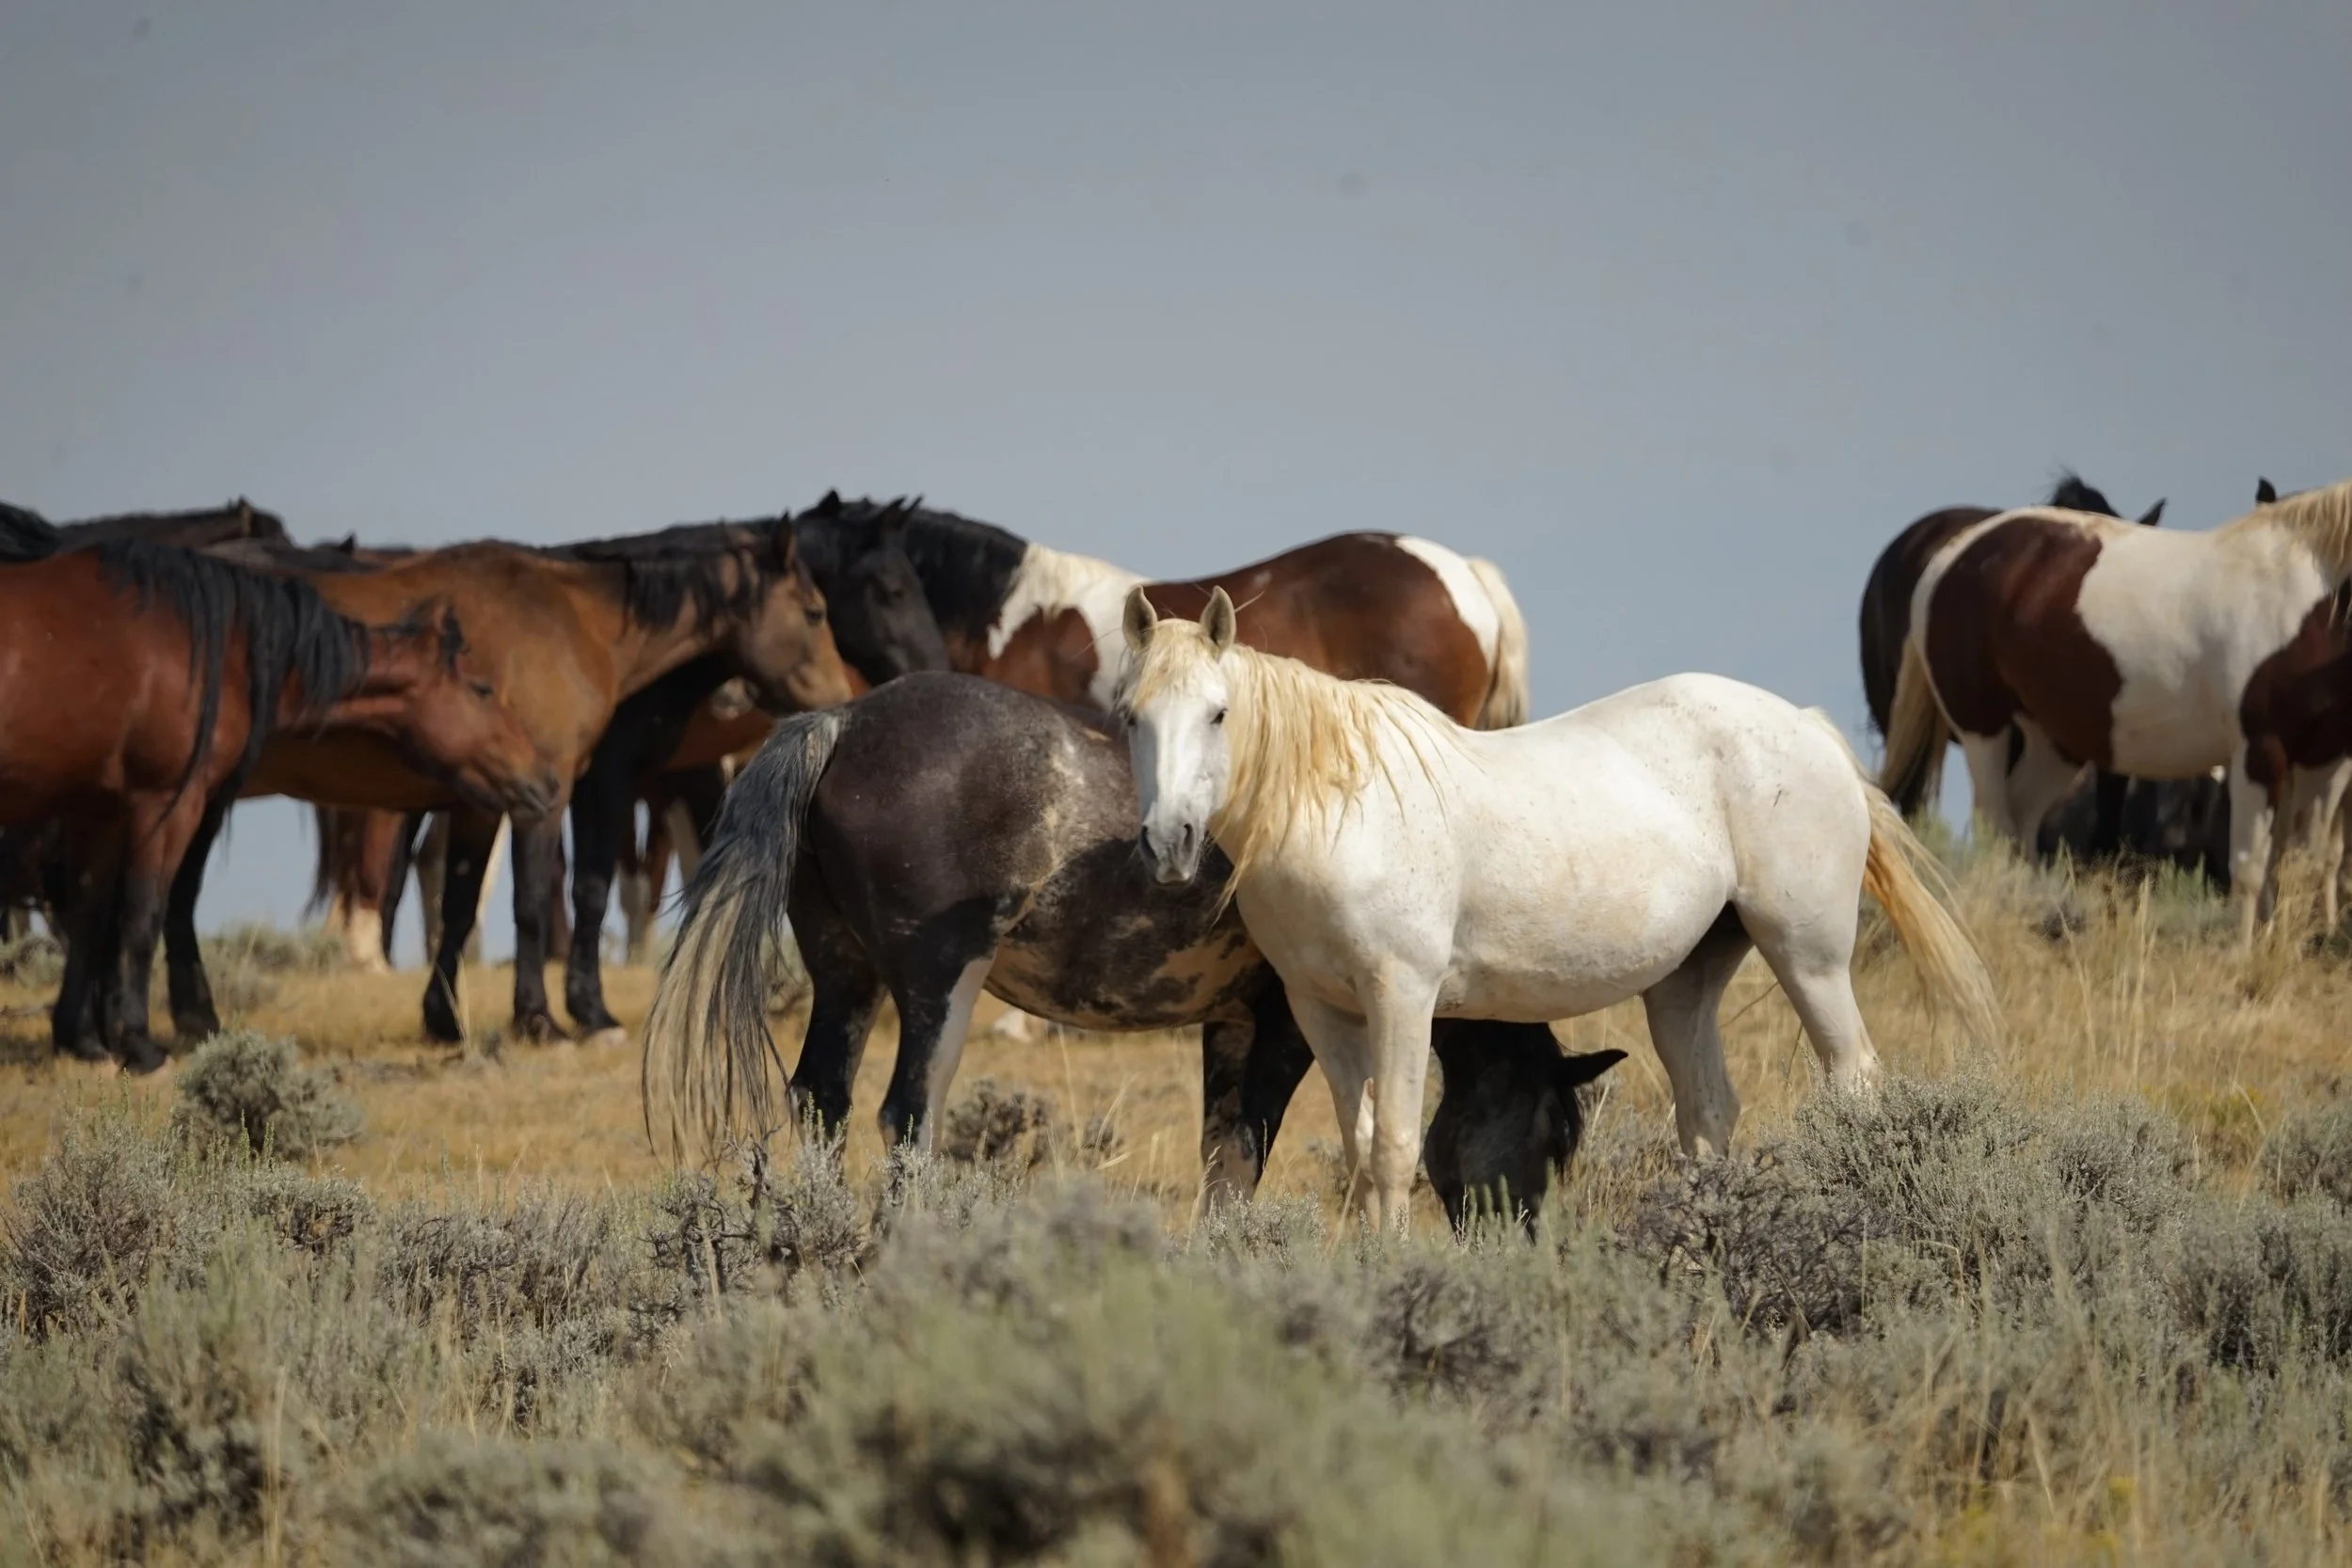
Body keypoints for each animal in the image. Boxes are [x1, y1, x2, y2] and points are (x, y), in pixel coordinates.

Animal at [0, 530, 544, 1068]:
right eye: (482, 689)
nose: (540, 781)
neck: (207, 646)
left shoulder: (98, 807)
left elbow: (90, 916)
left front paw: (83, 1041)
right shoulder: (165, 802)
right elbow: (141, 915)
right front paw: (138, 1045)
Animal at [158, 515, 856, 1045]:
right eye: (814, 611)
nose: (843, 699)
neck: (569, 621)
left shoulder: (480, 803)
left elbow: (462, 904)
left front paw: (443, 1020)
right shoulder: (545, 799)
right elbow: (537, 903)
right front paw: (547, 1019)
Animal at [1116, 587, 2001, 1231]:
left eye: (1219, 712)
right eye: (1131, 716)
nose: (1168, 842)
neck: (1340, 805)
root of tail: (1809, 729)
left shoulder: (1403, 995)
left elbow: (1396, 1148)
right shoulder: (1323, 1010)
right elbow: (1362, 1151)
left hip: (1809, 958)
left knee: (1855, 1083)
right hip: (1686, 981)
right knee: (1707, 1111)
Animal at [1881, 478, 2352, 940]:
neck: (2308, 604)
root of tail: (1954, 552)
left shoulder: (2323, 761)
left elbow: (2301, 862)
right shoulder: (2260, 752)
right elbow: (2253, 868)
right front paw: (2243, 953)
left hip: (2055, 742)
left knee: (2023, 823)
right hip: (1983, 727)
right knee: (1999, 828)